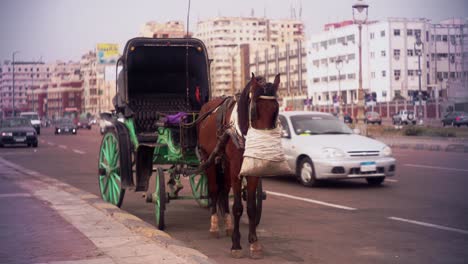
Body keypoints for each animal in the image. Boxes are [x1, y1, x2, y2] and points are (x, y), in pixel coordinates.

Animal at [197, 73, 280, 258]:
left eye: (276, 109)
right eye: (254, 110)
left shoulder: (252, 170)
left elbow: (251, 207)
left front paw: (254, 243)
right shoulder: (236, 170)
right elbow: (237, 207)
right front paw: (236, 244)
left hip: (225, 164)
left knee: (223, 191)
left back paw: (228, 225)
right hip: (209, 159)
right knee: (214, 190)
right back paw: (214, 226)